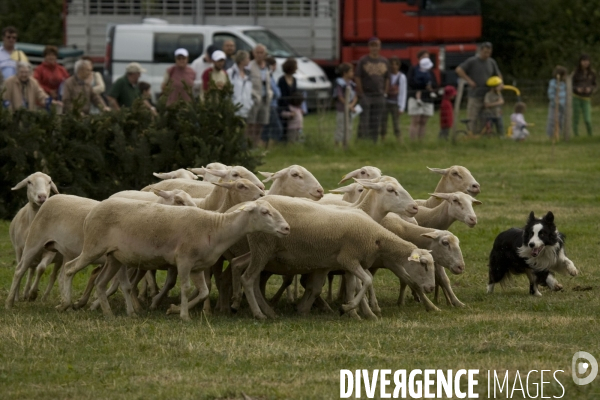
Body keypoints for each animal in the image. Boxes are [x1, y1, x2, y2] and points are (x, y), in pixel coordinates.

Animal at [63, 200, 290, 322]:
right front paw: (183, 315)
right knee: (68, 268)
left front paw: (174, 309)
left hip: (114, 257)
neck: (216, 229)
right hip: (93, 246)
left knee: (100, 283)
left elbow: (203, 291)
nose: (287, 228)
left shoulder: (198, 266)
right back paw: (65, 303)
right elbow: (186, 288)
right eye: (265, 212)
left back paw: (109, 313)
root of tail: (91, 212)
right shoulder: (184, 260)